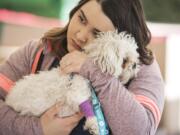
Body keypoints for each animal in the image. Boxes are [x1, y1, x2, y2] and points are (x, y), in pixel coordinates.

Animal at [4, 30, 139, 135]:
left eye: (134, 58)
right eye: (125, 60)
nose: (135, 64)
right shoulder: (76, 93)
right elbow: (87, 107)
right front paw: (95, 124)